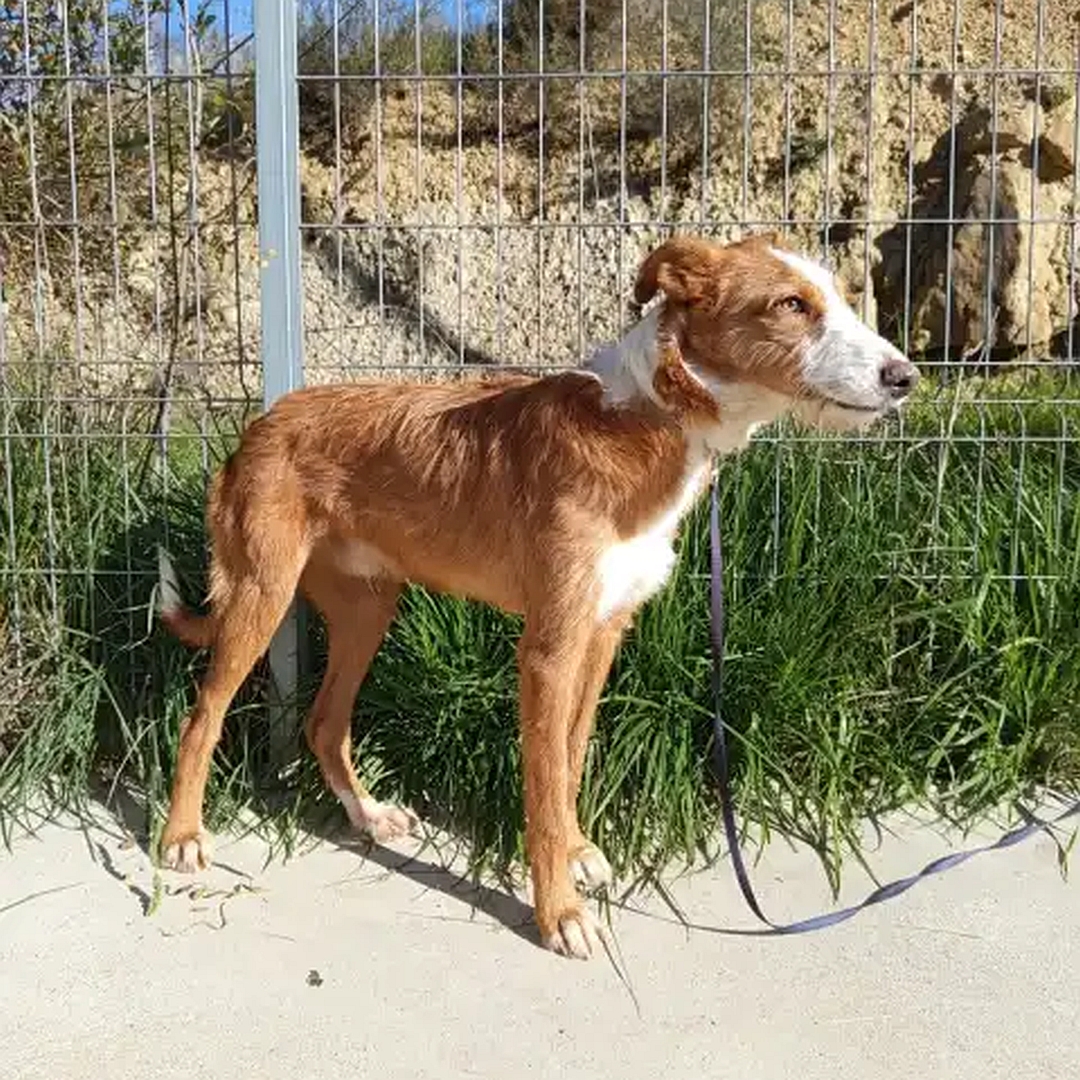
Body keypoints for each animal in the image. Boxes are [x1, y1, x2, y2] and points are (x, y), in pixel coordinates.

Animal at [157, 232, 920, 959]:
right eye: (791, 305)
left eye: (844, 298)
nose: (906, 377)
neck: (649, 418)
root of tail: (259, 425)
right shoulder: (548, 652)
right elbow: (544, 789)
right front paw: (561, 914)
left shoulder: (603, 634)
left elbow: (571, 761)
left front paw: (578, 853)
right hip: (261, 594)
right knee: (203, 716)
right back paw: (181, 837)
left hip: (368, 607)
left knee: (323, 722)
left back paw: (367, 815)